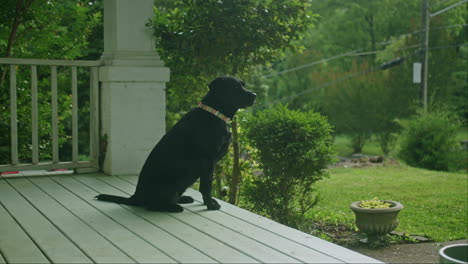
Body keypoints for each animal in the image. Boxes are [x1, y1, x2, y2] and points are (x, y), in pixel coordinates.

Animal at [95, 75, 256, 211]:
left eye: (243, 84)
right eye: (235, 87)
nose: (254, 95)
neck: (214, 114)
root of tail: (135, 197)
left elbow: (204, 186)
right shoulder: (208, 161)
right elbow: (206, 187)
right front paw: (210, 205)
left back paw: (183, 199)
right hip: (174, 182)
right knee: (152, 205)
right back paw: (174, 207)